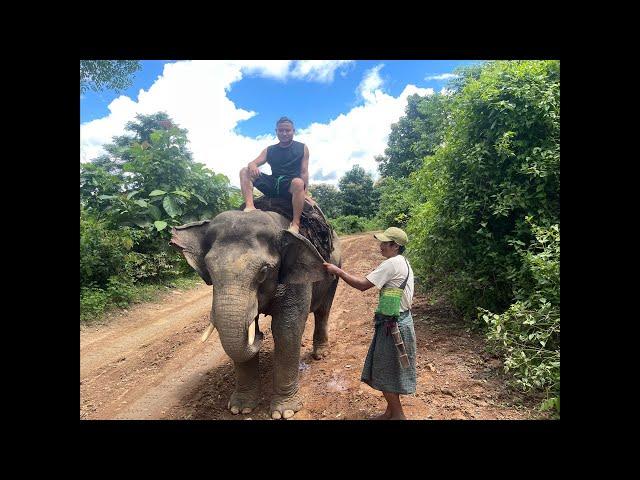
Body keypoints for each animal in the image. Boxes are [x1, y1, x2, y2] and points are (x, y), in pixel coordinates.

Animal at [169, 208, 340, 418]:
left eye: (263, 271)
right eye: (209, 270)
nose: (260, 335)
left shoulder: (296, 280)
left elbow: (286, 331)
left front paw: (284, 412)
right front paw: (240, 409)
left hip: (335, 272)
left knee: (323, 310)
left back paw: (320, 354)